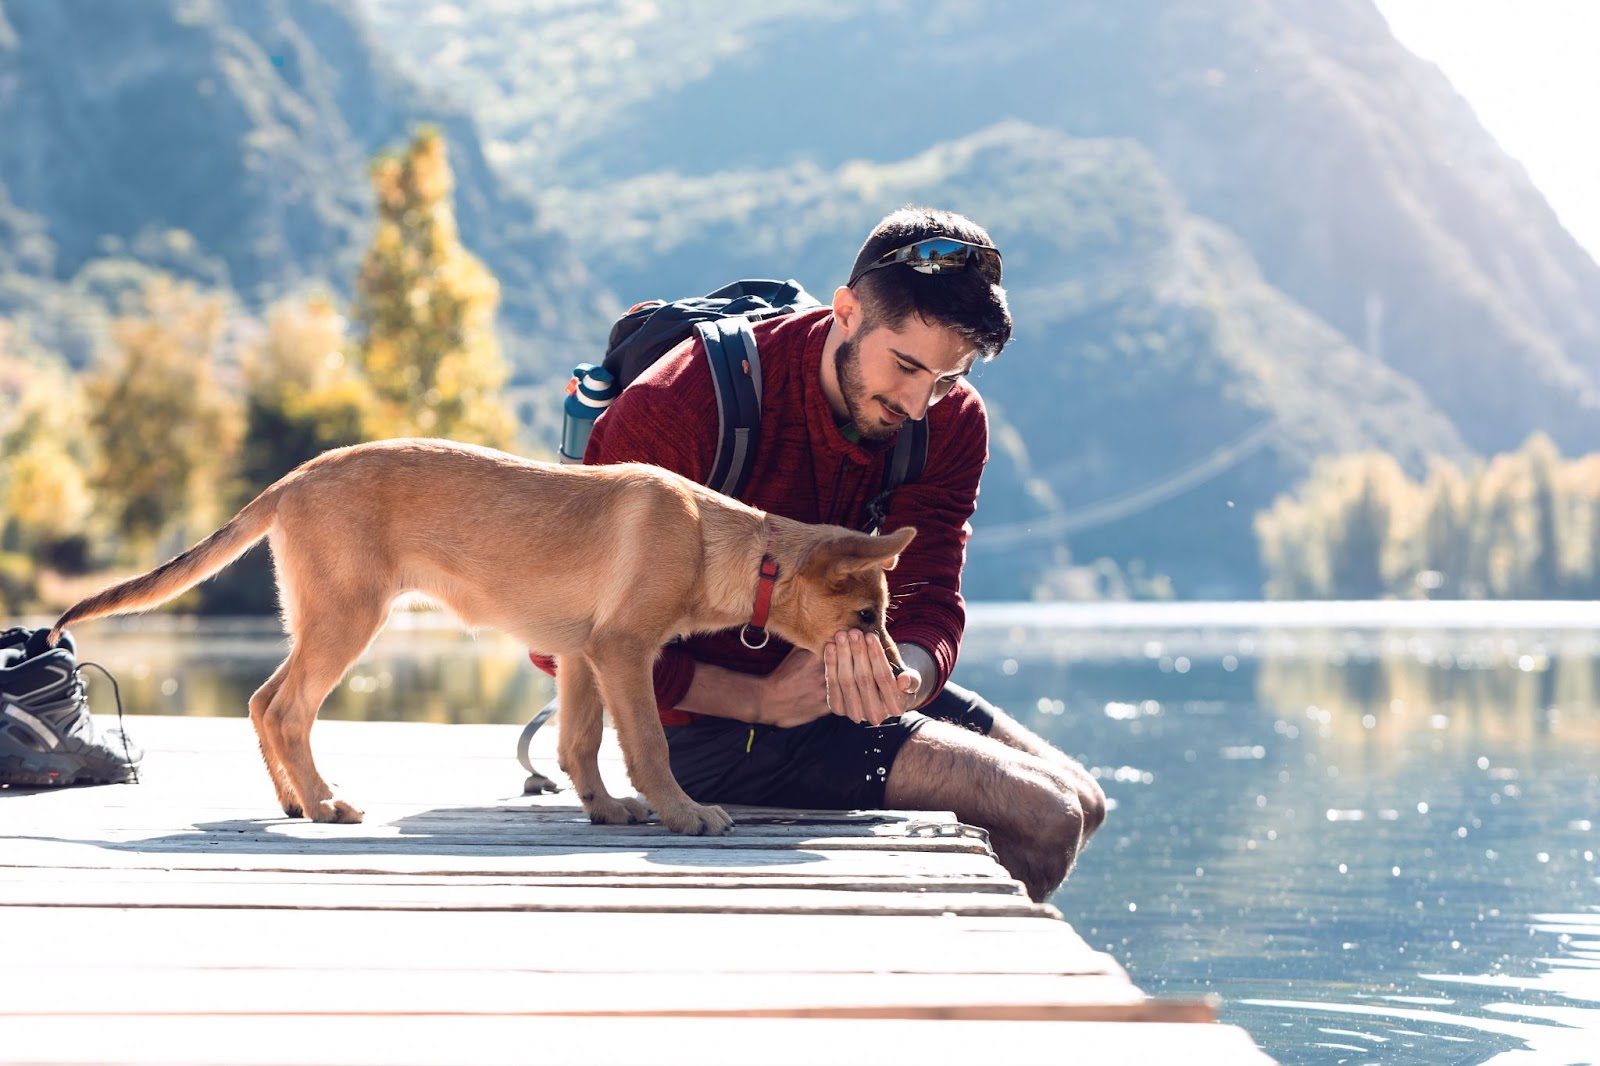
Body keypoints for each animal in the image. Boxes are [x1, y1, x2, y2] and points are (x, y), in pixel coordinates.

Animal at [50, 438, 915, 832]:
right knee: (290, 710)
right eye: (866, 620)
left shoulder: (580, 655)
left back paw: (295, 800)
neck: (721, 542)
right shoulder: (623, 651)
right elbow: (648, 745)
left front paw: (606, 808)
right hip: (349, 620)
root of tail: (295, 476)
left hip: (319, 618)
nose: (906, 683)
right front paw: (683, 812)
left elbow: (578, 745)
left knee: (263, 700)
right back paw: (326, 804)